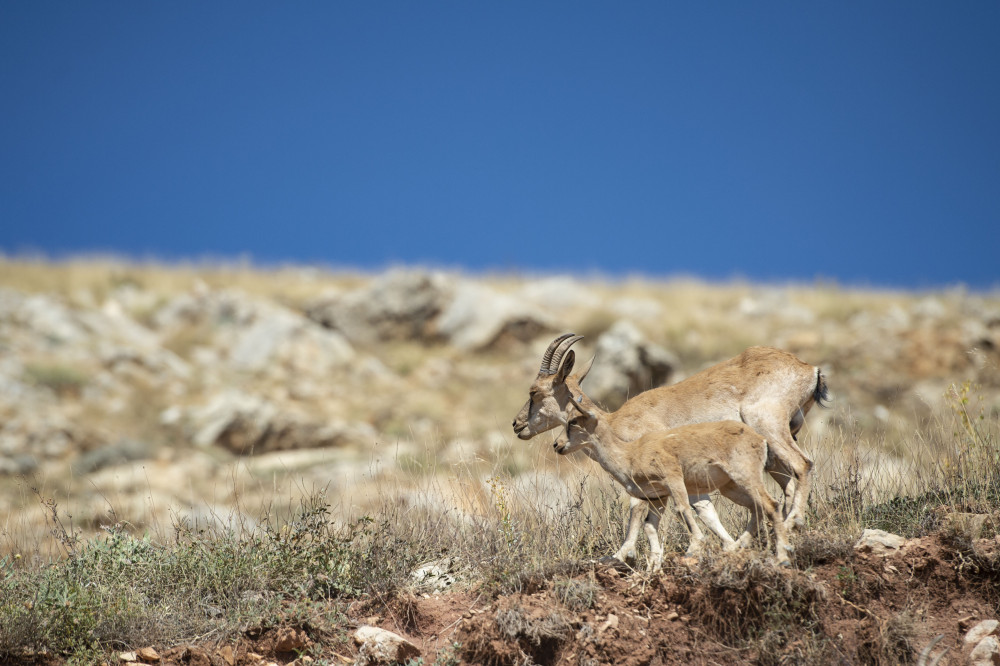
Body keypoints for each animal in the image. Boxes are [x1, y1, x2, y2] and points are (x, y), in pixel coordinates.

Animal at [564, 396, 788, 568]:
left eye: (573, 421)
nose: (558, 445)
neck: (630, 453)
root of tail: (758, 438)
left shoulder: (673, 479)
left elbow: (682, 509)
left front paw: (693, 549)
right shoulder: (658, 496)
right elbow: (649, 525)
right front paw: (654, 566)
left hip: (747, 478)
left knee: (771, 505)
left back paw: (782, 557)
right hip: (730, 488)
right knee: (757, 508)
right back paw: (736, 547)